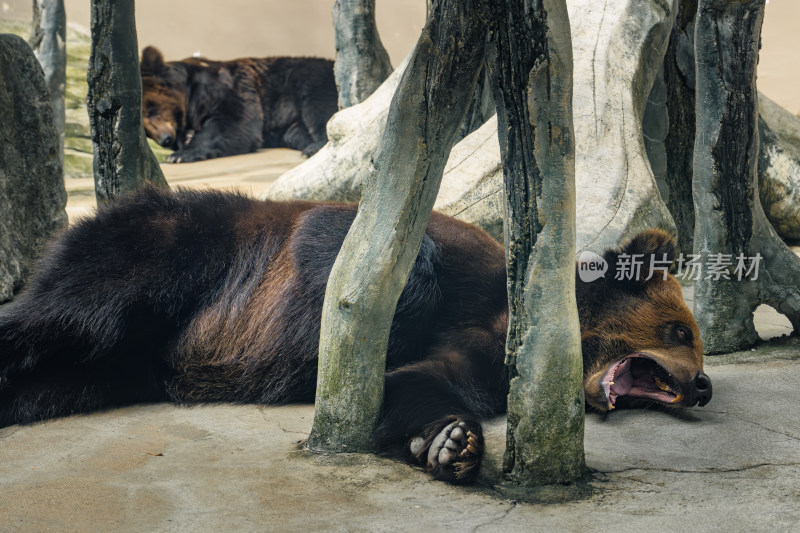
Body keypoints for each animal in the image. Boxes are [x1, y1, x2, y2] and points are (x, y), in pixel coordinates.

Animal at [0, 186, 712, 482]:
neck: (516, 320)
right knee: (66, 313)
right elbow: (357, 252)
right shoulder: (448, 261)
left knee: (61, 377)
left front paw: (449, 443)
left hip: (117, 363)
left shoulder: (485, 360)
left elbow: (419, 382)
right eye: (680, 330)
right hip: (167, 255)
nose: (703, 385)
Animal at [140, 45, 338, 162]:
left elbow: (235, 122)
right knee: (294, 131)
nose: (165, 139)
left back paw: (315, 147)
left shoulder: (224, 86)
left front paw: (181, 154)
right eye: (146, 131)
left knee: (318, 105)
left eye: (151, 109)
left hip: (309, 76)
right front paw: (185, 140)